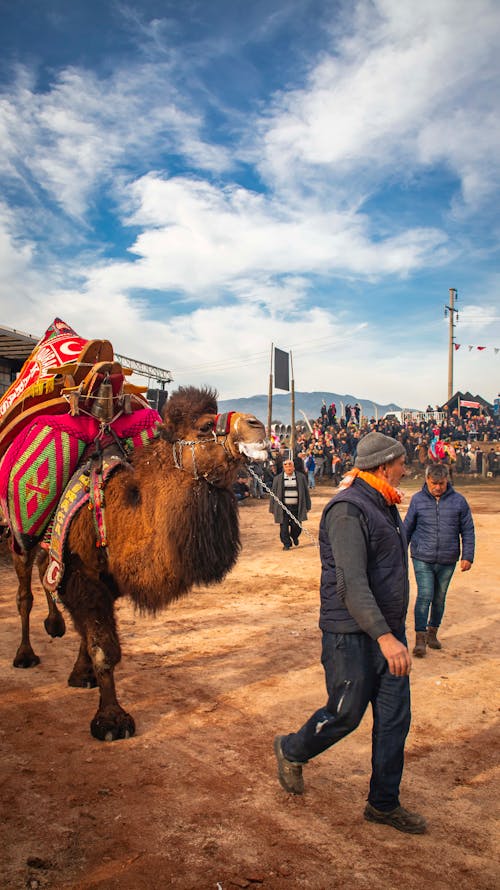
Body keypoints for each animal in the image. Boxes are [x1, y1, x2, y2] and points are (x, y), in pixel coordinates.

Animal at [9, 386, 268, 740]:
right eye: (204, 426)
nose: (258, 425)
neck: (122, 510)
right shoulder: (82, 573)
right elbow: (104, 647)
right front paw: (111, 721)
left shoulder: (101, 579)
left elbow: (90, 632)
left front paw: (84, 675)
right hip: (19, 536)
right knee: (25, 592)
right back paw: (25, 655)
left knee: (48, 579)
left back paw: (62, 640)